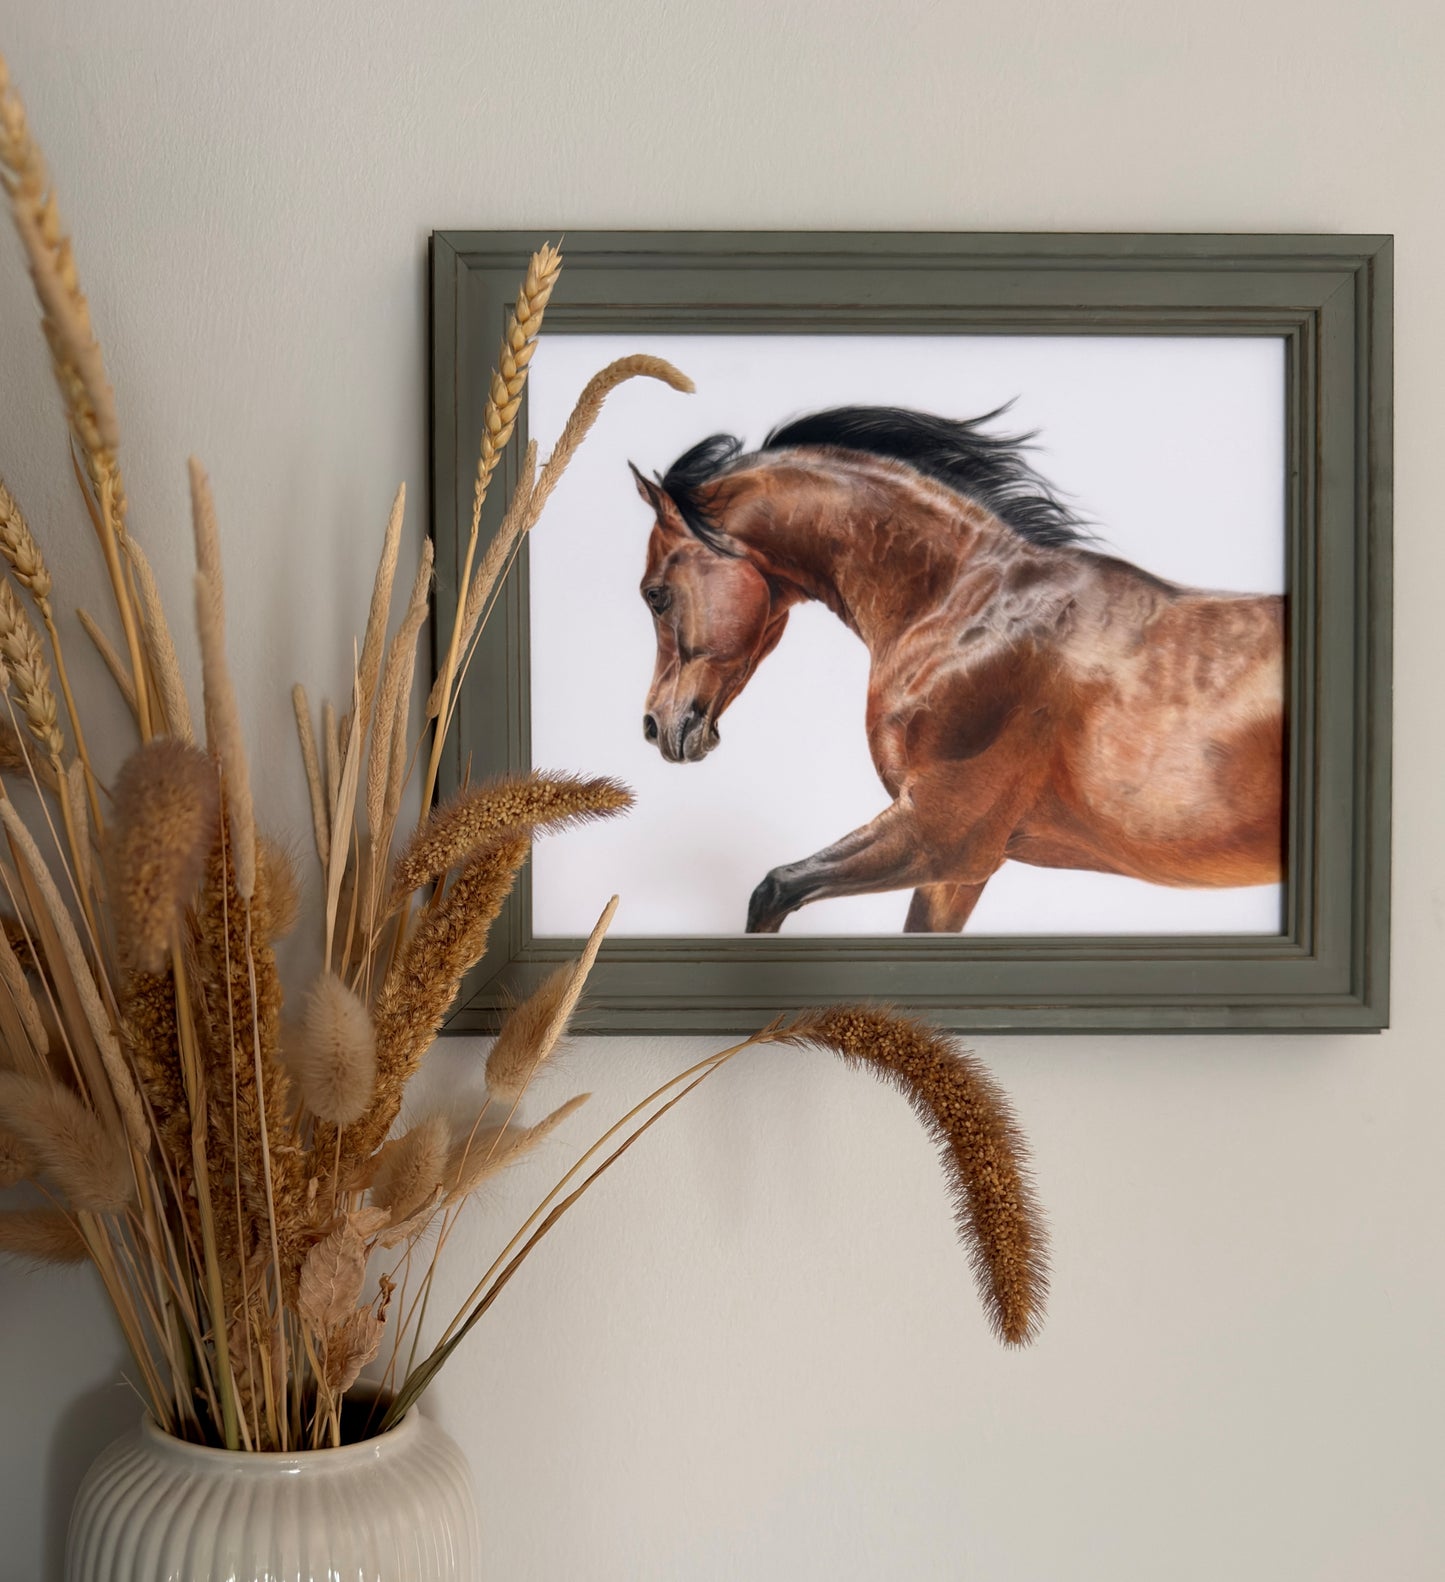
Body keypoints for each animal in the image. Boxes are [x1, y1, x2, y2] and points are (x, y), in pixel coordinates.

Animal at [628, 405, 1285, 934]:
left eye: (654, 594)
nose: (656, 727)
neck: (965, 608)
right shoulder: (957, 872)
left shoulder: (942, 836)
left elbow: (773, 890)